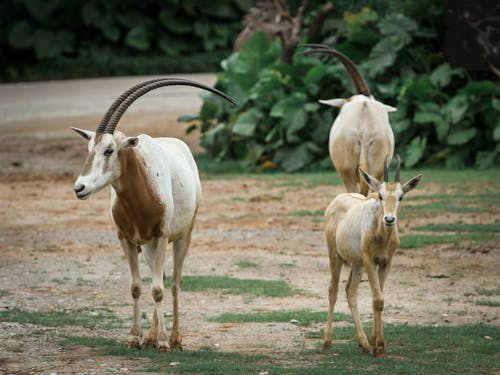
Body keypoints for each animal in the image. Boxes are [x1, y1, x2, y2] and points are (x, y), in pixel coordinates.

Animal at [71, 78, 235, 352]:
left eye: (109, 150)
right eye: (89, 148)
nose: (79, 187)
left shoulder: (161, 236)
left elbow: (159, 290)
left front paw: (164, 343)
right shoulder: (126, 239)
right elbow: (137, 287)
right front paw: (135, 337)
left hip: (181, 238)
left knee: (174, 283)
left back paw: (174, 338)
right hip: (147, 247)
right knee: (161, 279)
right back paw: (152, 336)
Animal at [324, 157, 422, 356]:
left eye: (401, 196)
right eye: (380, 196)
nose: (389, 220)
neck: (380, 234)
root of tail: (336, 201)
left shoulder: (386, 262)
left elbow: (380, 298)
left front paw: (376, 342)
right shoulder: (370, 261)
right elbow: (377, 299)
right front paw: (379, 346)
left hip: (357, 264)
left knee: (350, 291)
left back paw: (363, 343)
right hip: (335, 256)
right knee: (333, 290)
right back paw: (327, 341)